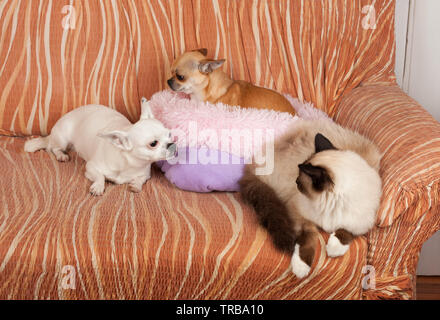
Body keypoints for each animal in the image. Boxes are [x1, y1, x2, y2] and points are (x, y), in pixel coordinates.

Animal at [24, 97, 176, 195]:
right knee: (54, 148)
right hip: (62, 138)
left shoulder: (145, 174)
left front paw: (136, 185)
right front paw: (98, 186)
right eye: (153, 144)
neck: (129, 163)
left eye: (169, 134)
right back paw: (61, 155)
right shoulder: (91, 167)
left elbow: (140, 179)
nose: (172, 145)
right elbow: (100, 176)